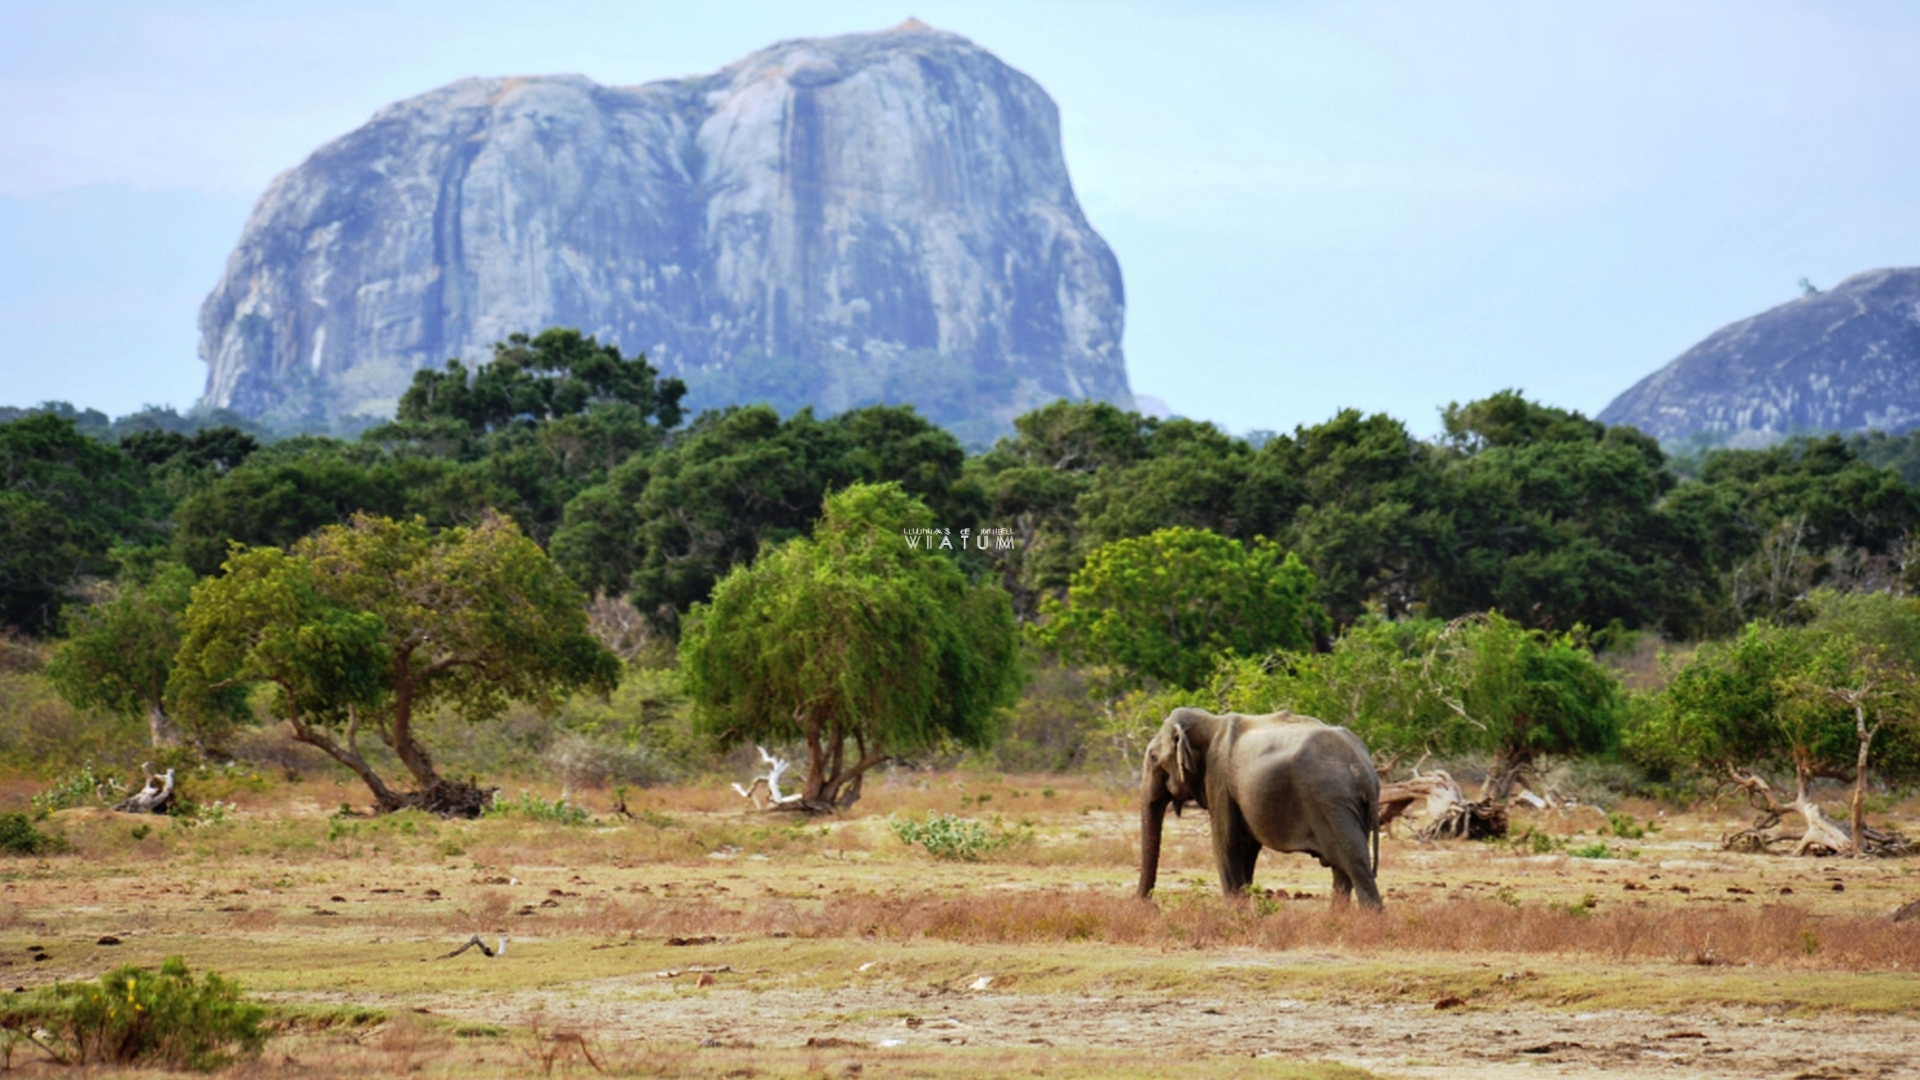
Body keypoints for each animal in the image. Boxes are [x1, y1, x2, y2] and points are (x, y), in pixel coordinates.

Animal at [1136, 703, 1382, 903]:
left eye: (1153, 758)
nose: (1149, 907)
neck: (1210, 721)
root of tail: (1364, 770)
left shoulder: (1219, 780)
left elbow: (1227, 843)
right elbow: (1248, 849)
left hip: (1331, 802)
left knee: (1354, 864)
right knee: (1344, 870)